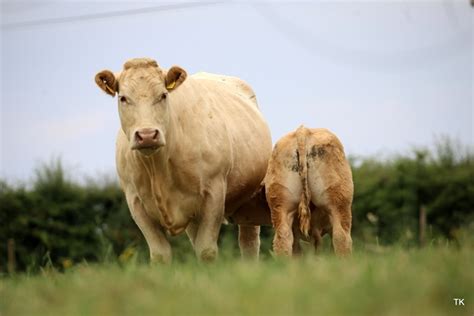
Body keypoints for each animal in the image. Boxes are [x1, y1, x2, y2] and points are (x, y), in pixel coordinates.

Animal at [93, 58, 270, 262]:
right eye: (123, 98)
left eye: (163, 95)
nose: (147, 135)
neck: (158, 168)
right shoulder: (135, 201)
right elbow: (160, 254)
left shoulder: (214, 192)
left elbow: (206, 251)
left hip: (249, 203)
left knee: (249, 245)